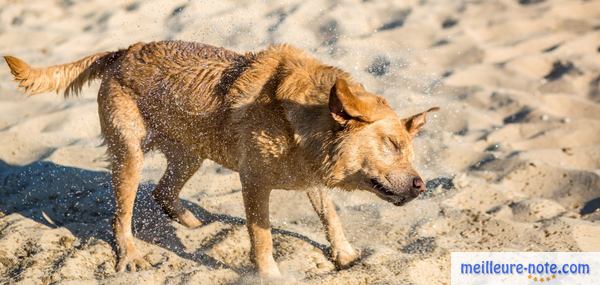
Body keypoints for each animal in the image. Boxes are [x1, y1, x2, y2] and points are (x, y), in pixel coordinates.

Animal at [2, 41, 438, 276]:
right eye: (391, 144)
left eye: (408, 148)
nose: (422, 185)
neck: (301, 118)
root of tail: (122, 52)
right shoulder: (254, 183)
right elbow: (262, 237)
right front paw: (269, 275)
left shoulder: (311, 177)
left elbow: (331, 217)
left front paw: (345, 256)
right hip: (130, 158)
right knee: (121, 216)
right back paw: (131, 254)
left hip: (190, 154)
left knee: (162, 192)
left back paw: (193, 223)